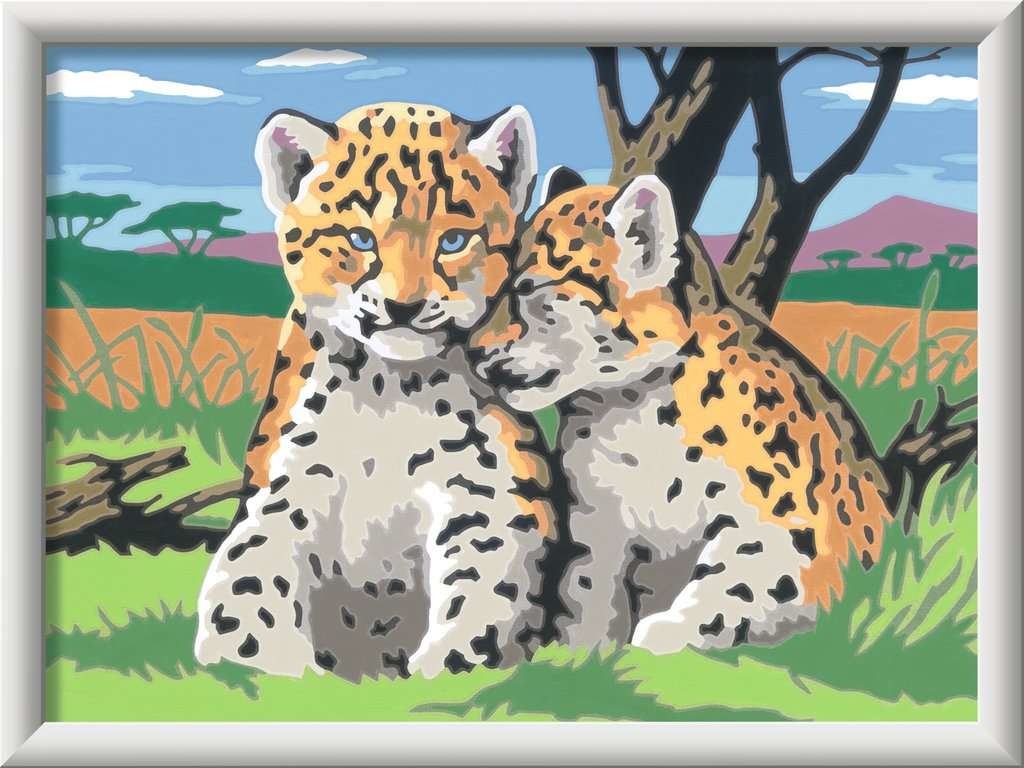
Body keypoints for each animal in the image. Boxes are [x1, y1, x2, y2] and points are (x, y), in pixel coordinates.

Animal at [194, 102, 558, 680]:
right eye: (359, 239)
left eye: (453, 241)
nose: (404, 306)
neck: (387, 388)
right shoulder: (289, 485)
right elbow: (248, 576)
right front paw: (262, 660)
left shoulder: (485, 491)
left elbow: (485, 583)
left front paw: (447, 664)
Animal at [470, 169, 892, 654]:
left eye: (533, 291)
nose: (473, 349)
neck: (625, 413)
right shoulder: (596, 518)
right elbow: (588, 589)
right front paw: (579, 649)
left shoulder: (779, 520)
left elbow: (739, 575)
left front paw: (666, 631)